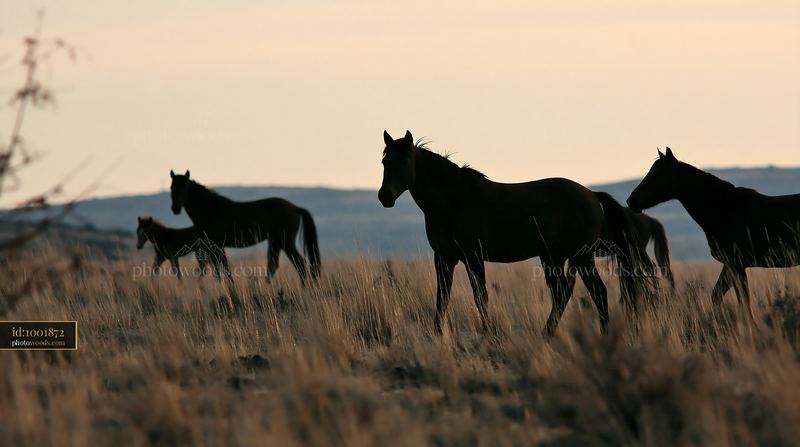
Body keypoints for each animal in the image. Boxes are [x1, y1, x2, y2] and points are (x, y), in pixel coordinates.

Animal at [168, 171, 321, 285]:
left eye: (185, 187)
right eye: (171, 187)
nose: (175, 209)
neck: (211, 209)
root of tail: (295, 208)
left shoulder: (217, 245)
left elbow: (225, 270)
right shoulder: (211, 247)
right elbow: (219, 271)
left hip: (286, 242)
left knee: (300, 265)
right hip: (275, 242)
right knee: (274, 266)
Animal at [378, 130, 644, 336]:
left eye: (404, 161)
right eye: (384, 162)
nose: (385, 197)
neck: (453, 200)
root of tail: (592, 195)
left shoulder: (473, 257)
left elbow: (480, 296)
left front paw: (488, 333)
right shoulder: (444, 258)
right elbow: (442, 298)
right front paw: (437, 334)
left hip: (580, 257)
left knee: (598, 292)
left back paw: (602, 335)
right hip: (554, 258)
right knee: (561, 295)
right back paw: (546, 334)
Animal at [627, 148, 800, 323]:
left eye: (655, 174)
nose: (631, 201)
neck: (724, 209)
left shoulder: (736, 264)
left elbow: (743, 302)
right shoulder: (730, 266)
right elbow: (718, 296)